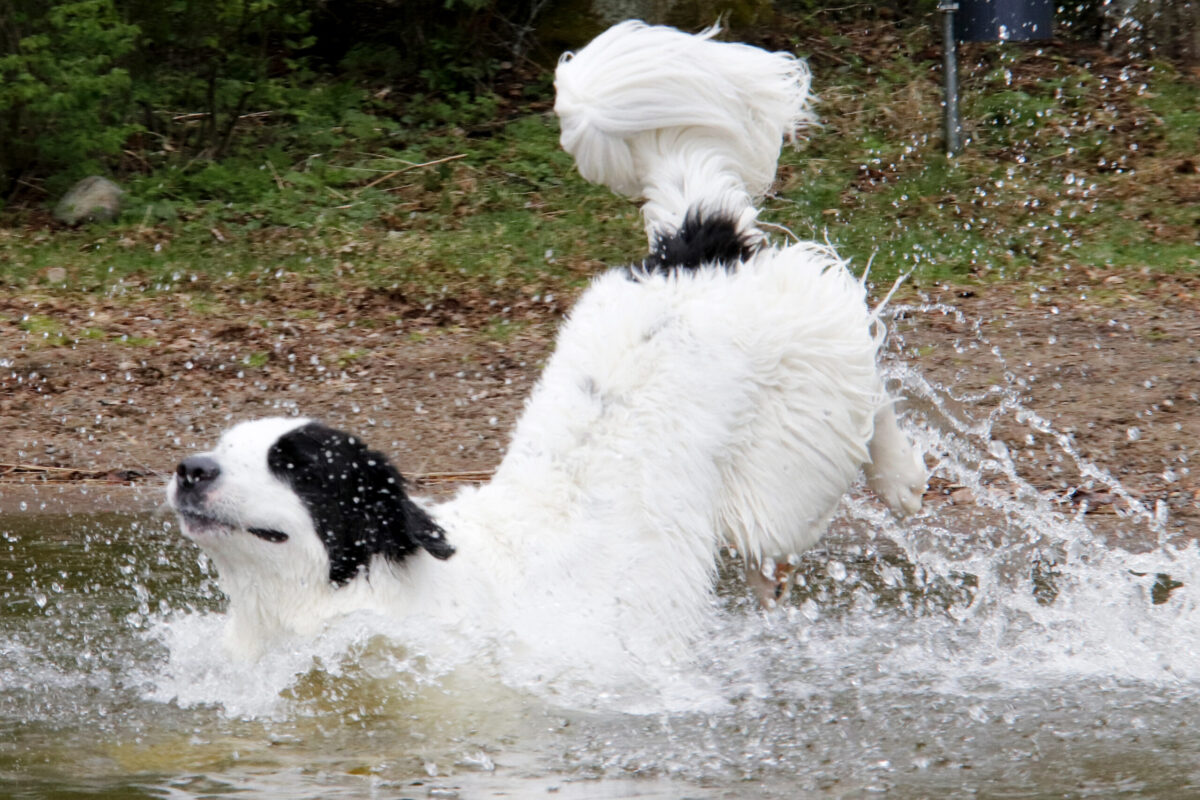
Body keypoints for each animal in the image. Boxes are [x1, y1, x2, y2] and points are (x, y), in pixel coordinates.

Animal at [164, 20, 921, 671]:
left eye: (293, 465)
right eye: (226, 447)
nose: (190, 469)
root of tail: (695, 245)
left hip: (788, 465)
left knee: (863, 370)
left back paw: (903, 477)